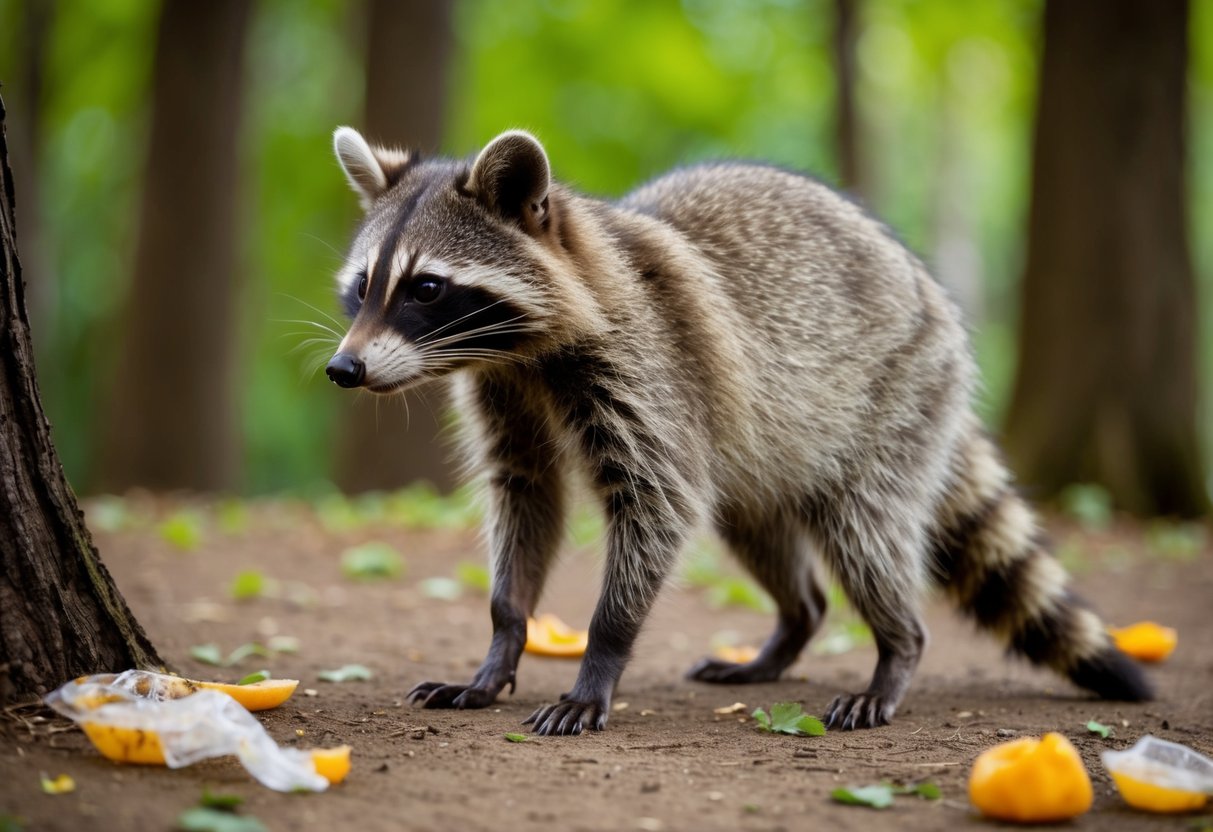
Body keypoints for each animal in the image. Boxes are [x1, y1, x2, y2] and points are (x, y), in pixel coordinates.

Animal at [324, 127, 1151, 735]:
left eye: (426, 288)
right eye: (363, 287)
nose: (343, 368)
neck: (523, 351)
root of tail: (926, 289)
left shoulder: (648, 371)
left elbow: (657, 504)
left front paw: (599, 658)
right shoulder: (505, 394)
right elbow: (526, 496)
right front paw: (499, 647)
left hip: (896, 395)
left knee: (864, 531)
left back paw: (896, 648)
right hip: (763, 449)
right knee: (761, 532)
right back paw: (790, 628)